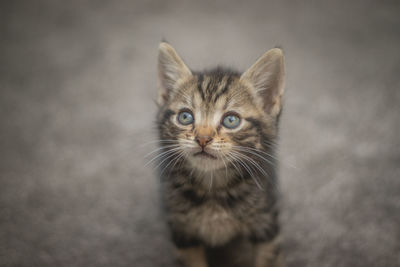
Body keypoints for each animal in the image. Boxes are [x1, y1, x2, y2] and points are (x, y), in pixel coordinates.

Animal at [155, 42, 284, 267]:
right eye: (185, 117)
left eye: (231, 120)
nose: (203, 139)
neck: (214, 188)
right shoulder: (182, 231)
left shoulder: (266, 222)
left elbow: (267, 257)